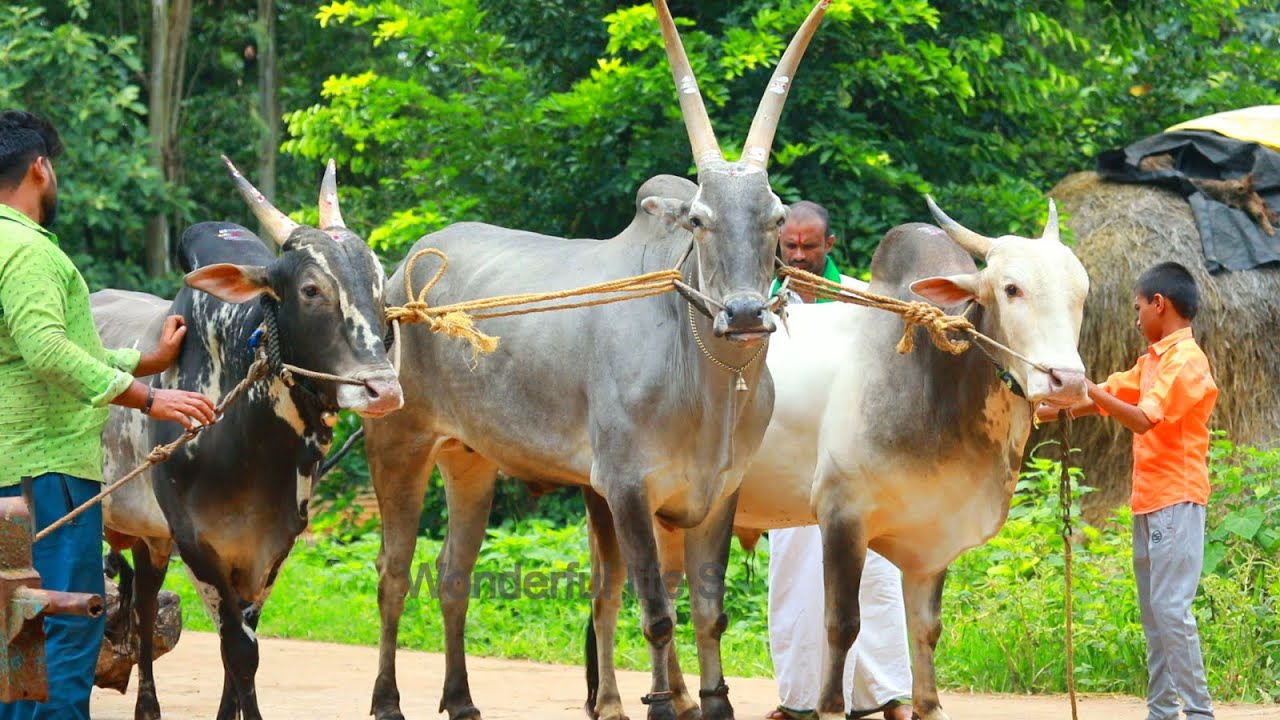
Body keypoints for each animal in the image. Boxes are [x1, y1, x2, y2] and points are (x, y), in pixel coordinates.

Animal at [92, 159, 404, 720]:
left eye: (380, 289)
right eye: (310, 290)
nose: (382, 389)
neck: (247, 446)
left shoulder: (272, 545)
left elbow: (241, 646)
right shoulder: (197, 542)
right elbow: (237, 649)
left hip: (151, 538)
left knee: (145, 603)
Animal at [361, 3, 832, 719]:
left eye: (776, 218)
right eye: (699, 220)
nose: (747, 315)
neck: (708, 382)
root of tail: (405, 272)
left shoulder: (718, 492)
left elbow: (709, 611)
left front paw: (712, 701)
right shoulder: (626, 487)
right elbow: (656, 612)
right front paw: (661, 702)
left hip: (469, 460)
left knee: (452, 575)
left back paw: (461, 699)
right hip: (399, 444)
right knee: (392, 572)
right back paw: (388, 699)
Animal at [586, 197, 1090, 720]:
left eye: (1082, 293)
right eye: (1012, 289)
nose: (1067, 382)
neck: (934, 375)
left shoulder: (930, 538)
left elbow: (926, 628)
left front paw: (928, 706)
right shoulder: (842, 515)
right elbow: (842, 624)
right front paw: (828, 707)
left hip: (673, 512)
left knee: (665, 594)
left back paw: (683, 699)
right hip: (610, 499)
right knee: (608, 600)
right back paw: (612, 702)